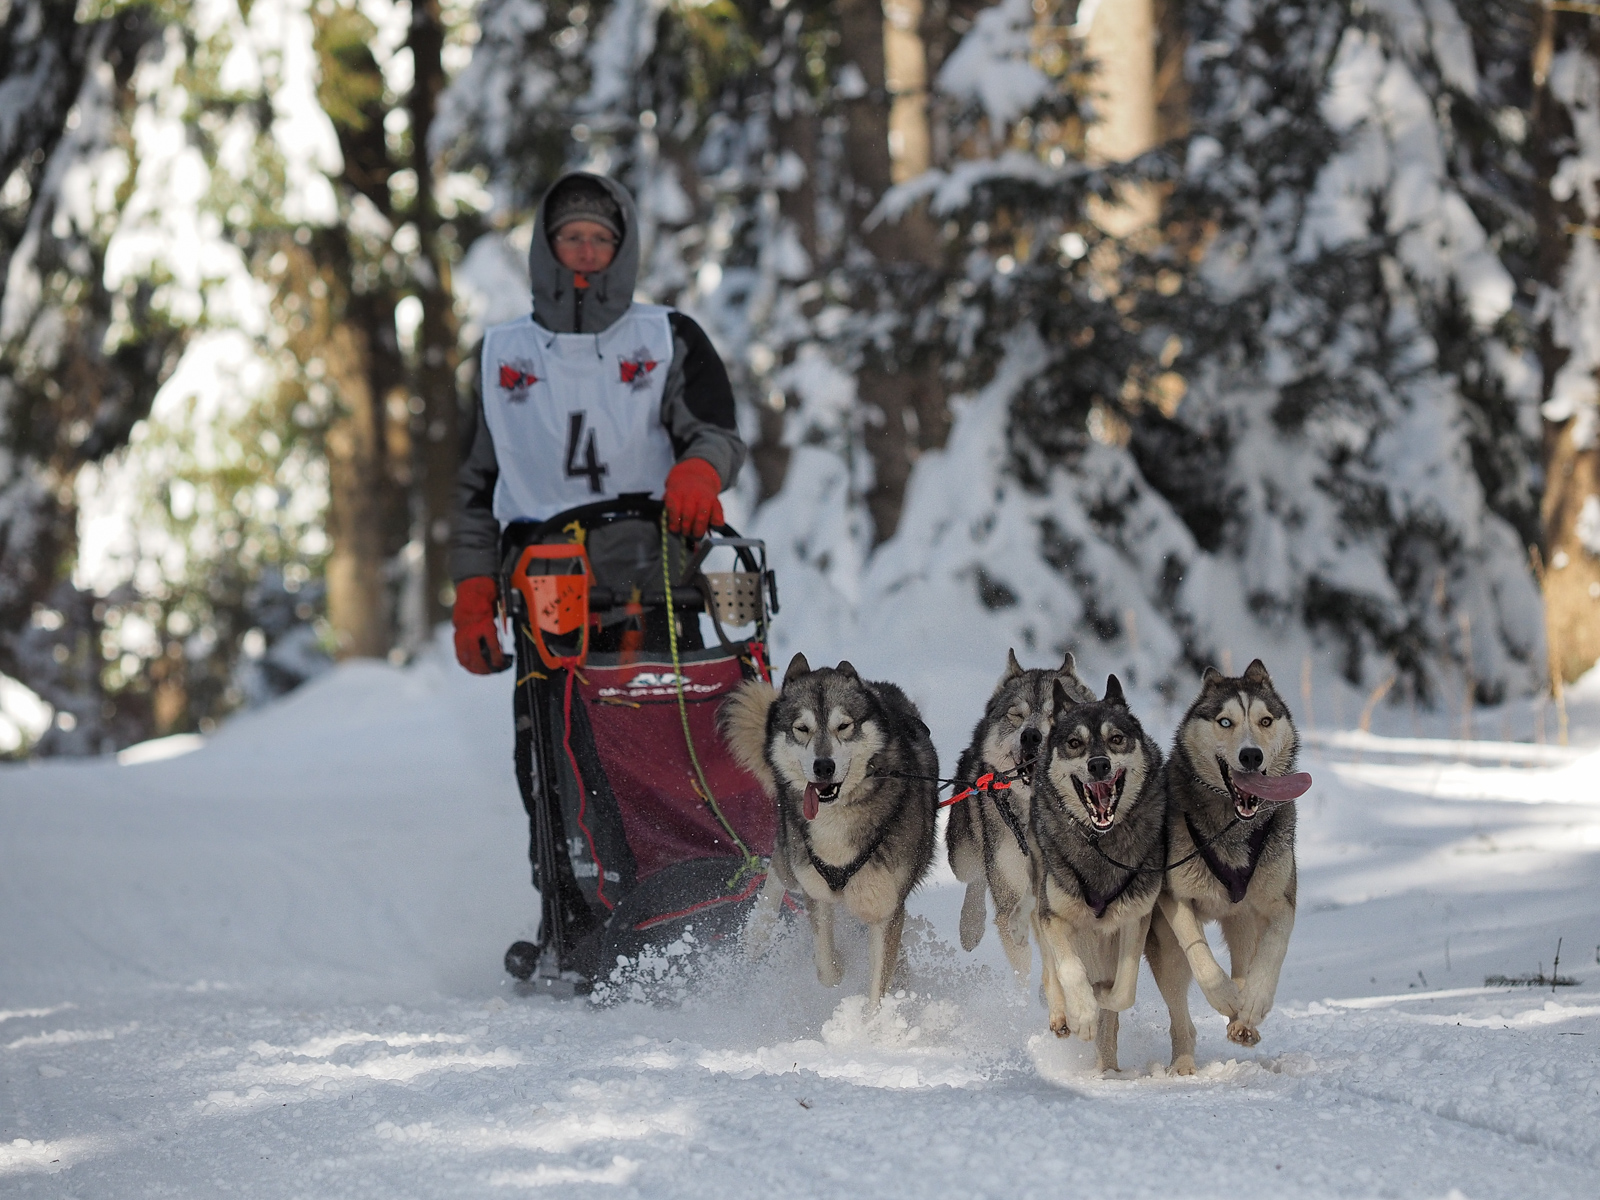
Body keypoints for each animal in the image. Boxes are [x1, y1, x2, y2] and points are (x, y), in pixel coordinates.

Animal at [723, 654, 939, 1009]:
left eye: (844, 726)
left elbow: (879, 987)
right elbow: (828, 970)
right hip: (793, 852)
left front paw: (872, 1020)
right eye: (802, 729)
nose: (823, 766)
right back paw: (756, 934)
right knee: (778, 870)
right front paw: (842, 964)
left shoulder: (885, 908)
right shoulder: (817, 892)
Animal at [947, 649, 1097, 980]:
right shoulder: (1009, 893)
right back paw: (970, 925)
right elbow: (1022, 961)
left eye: (1058, 713)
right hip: (962, 855)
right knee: (975, 877)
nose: (1031, 736)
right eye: (1016, 715)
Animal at [1028, 674, 1166, 1071]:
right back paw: (1064, 1016)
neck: (1099, 845)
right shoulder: (1053, 914)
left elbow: (1122, 992)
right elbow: (1069, 971)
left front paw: (1099, 998)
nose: (1099, 765)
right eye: (1075, 743)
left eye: (1116, 738)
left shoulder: (1135, 918)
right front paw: (1082, 1015)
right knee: (1051, 969)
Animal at [1145, 659, 1311, 1074]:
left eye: (1265, 721)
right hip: (1163, 947)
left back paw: (1242, 1023)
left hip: (1242, 922)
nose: (1251, 755)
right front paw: (1225, 997)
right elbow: (1202, 958)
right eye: (1225, 721)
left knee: (1244, 962)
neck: (1233, 826)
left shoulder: (1279, 901)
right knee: (1181, 1013)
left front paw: (1252, 1002)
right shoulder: (1175, 897)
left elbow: (1271, 952)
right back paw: (1184, 1063)